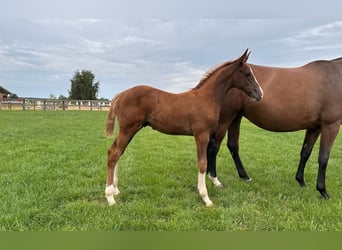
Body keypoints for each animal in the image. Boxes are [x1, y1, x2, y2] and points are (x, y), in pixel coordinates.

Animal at [103, 49, 264, 207]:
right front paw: (206, 198)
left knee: (118, 152)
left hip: (131, 130)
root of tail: (121, 94)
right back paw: (110, 197)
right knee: (114, 153)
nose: (260, 94)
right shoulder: (201, 135)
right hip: (128, 129)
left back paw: (115, 190)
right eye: (247, 73)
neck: (206, 98)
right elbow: (202, 163)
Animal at [207, 56, 342, 199]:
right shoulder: (331, 125)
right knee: (214, 146)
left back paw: (245, 177)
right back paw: (214, 179)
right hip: (226, 119)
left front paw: (301, 181)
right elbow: (323, 158)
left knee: (232, 146)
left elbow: (305, 153)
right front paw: (323, 191)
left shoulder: (314, 127)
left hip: (236, 118)